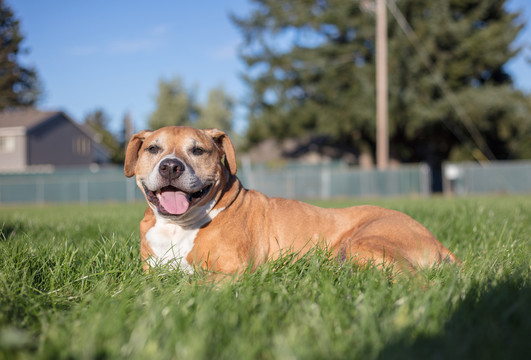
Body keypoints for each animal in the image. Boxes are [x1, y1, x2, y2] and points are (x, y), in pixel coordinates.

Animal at [123, 128, 458, 278]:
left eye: (198, 150)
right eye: (153, 148)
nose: (170, 166)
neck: (178, 226)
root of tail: (436, 240)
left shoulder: (228, 272)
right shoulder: (150, 271)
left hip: (363, 243)